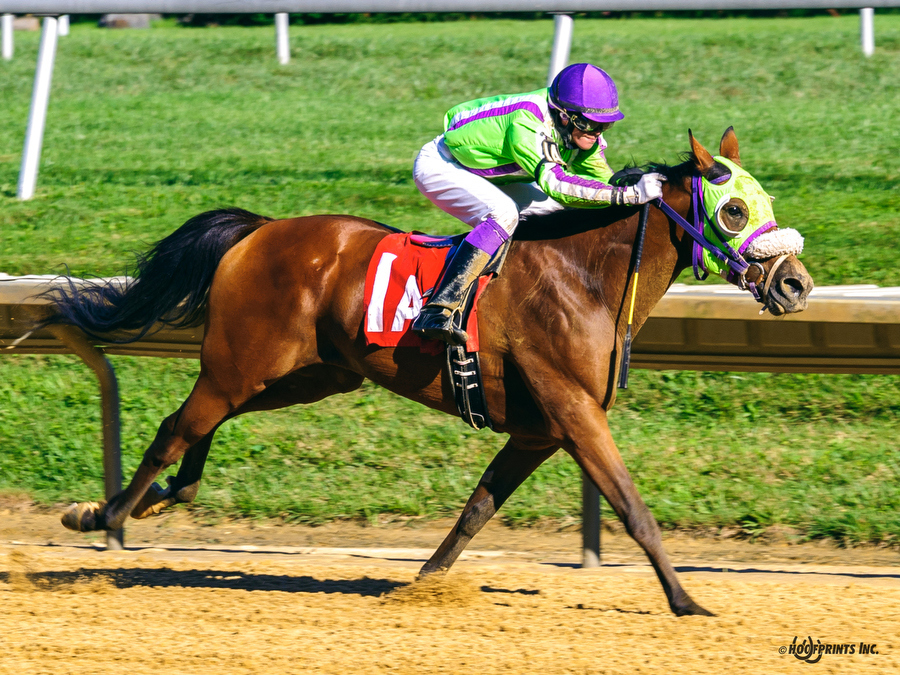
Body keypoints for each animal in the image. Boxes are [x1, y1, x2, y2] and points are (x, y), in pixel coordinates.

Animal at [48, 128, 813, 616]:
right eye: (734, 208)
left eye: (767, 202)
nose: (796, 284)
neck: (586, 278)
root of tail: (259, 230)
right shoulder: (573, 412)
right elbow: (631, 507)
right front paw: (687, 600)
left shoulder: (536, 431)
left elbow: (477, 508)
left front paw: (420, 584)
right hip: (245, 361)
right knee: (175, 428)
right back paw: (103, 512)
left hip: (305, 374)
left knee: (194, 427)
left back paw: (156, 499)